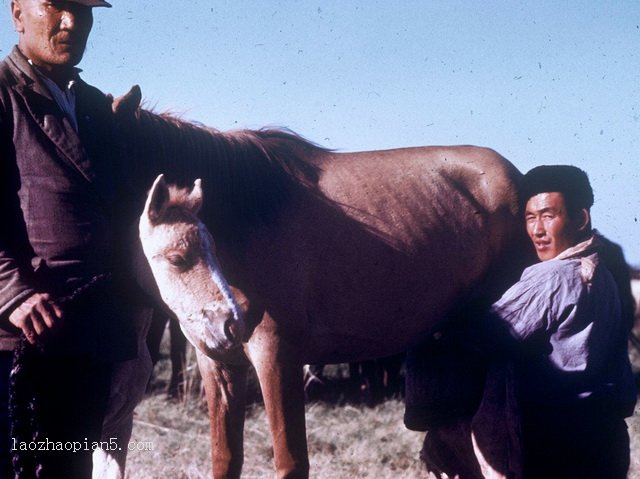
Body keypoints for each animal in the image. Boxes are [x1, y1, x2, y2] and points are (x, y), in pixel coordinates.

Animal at [129, 100, 524, 476]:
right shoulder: (218, 363)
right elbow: (225, 459)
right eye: (179, 258)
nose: (230, 325)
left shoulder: (277, 356)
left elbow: (290, 461)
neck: (246, 216)